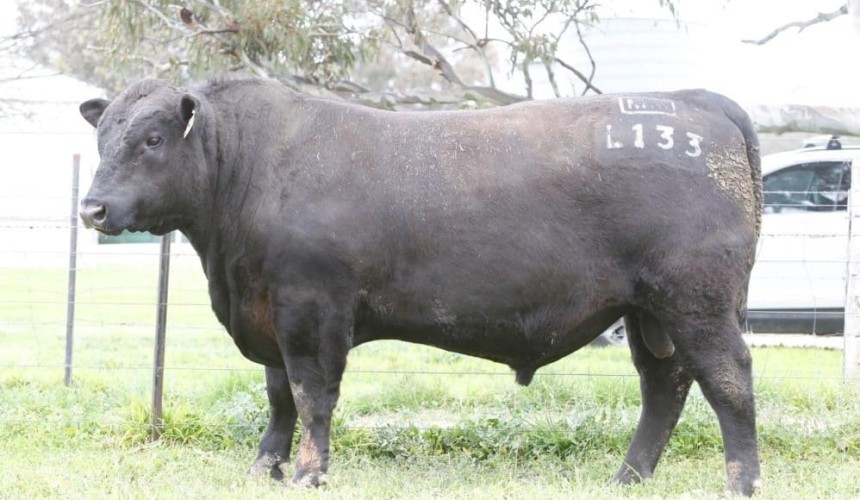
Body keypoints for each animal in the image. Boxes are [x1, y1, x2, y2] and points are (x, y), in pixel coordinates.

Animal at [79, 78, 762, 495]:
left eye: (152, 139)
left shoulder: (312, 310)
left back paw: (741, 482)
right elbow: (278, 398)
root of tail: (695, 98)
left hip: (696, 300)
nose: (92, 209)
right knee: (665, 386)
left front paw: (308, 474)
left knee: (727, 382)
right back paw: (627, 478)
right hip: (649, 312)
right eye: (102, 136)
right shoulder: (270, 312)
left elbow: (311, 396)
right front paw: (262, 470)